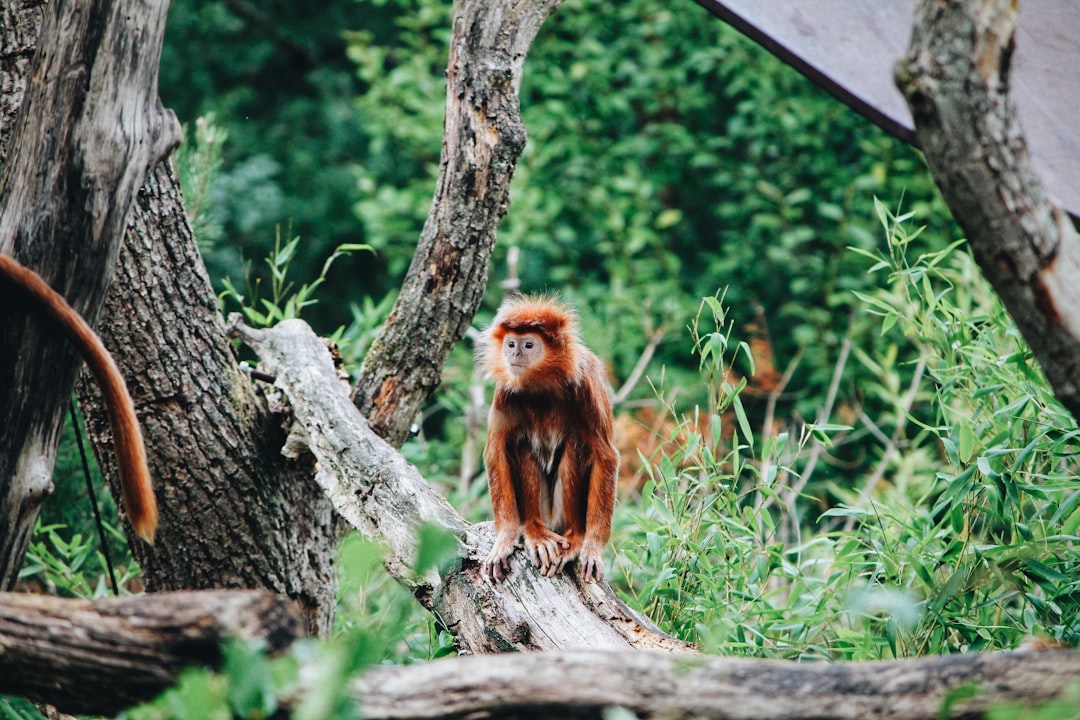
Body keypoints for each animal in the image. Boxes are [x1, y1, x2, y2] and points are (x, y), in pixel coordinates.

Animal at [479, 295, 617, 582]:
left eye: (529, 345)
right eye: (511, 343)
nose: (514, 354)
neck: (543, 384)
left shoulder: (586, 382)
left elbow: (606, 456)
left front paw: (593, 548)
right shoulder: (506, 391)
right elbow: (496, 453)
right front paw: (504, 540)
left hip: (560, 518)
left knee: (576, 445)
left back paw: (575, 539)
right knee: (521, 443)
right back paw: (535, 532)